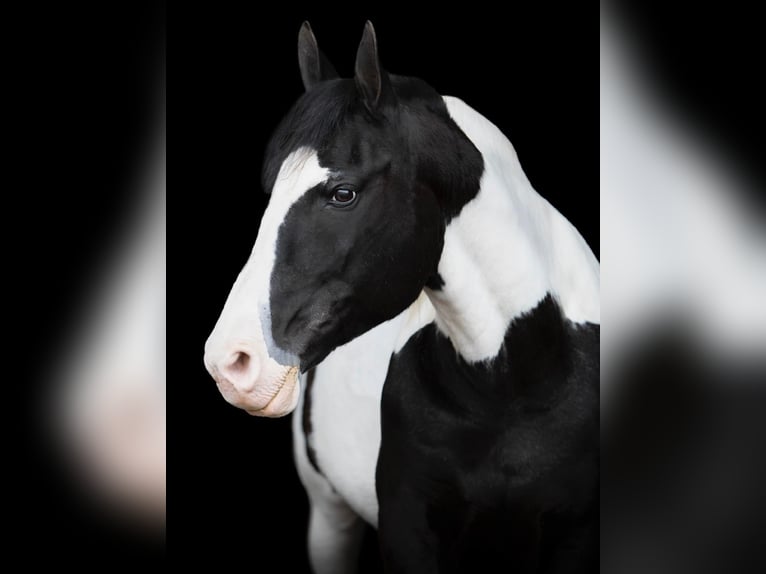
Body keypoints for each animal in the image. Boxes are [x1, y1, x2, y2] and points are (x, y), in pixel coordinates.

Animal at [207, 21, 604, 574]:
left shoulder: (578, 536)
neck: (511, 383)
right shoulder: (408, 531)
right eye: (269, 194)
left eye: (343, 193)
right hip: (329, 515)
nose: (230, 362)